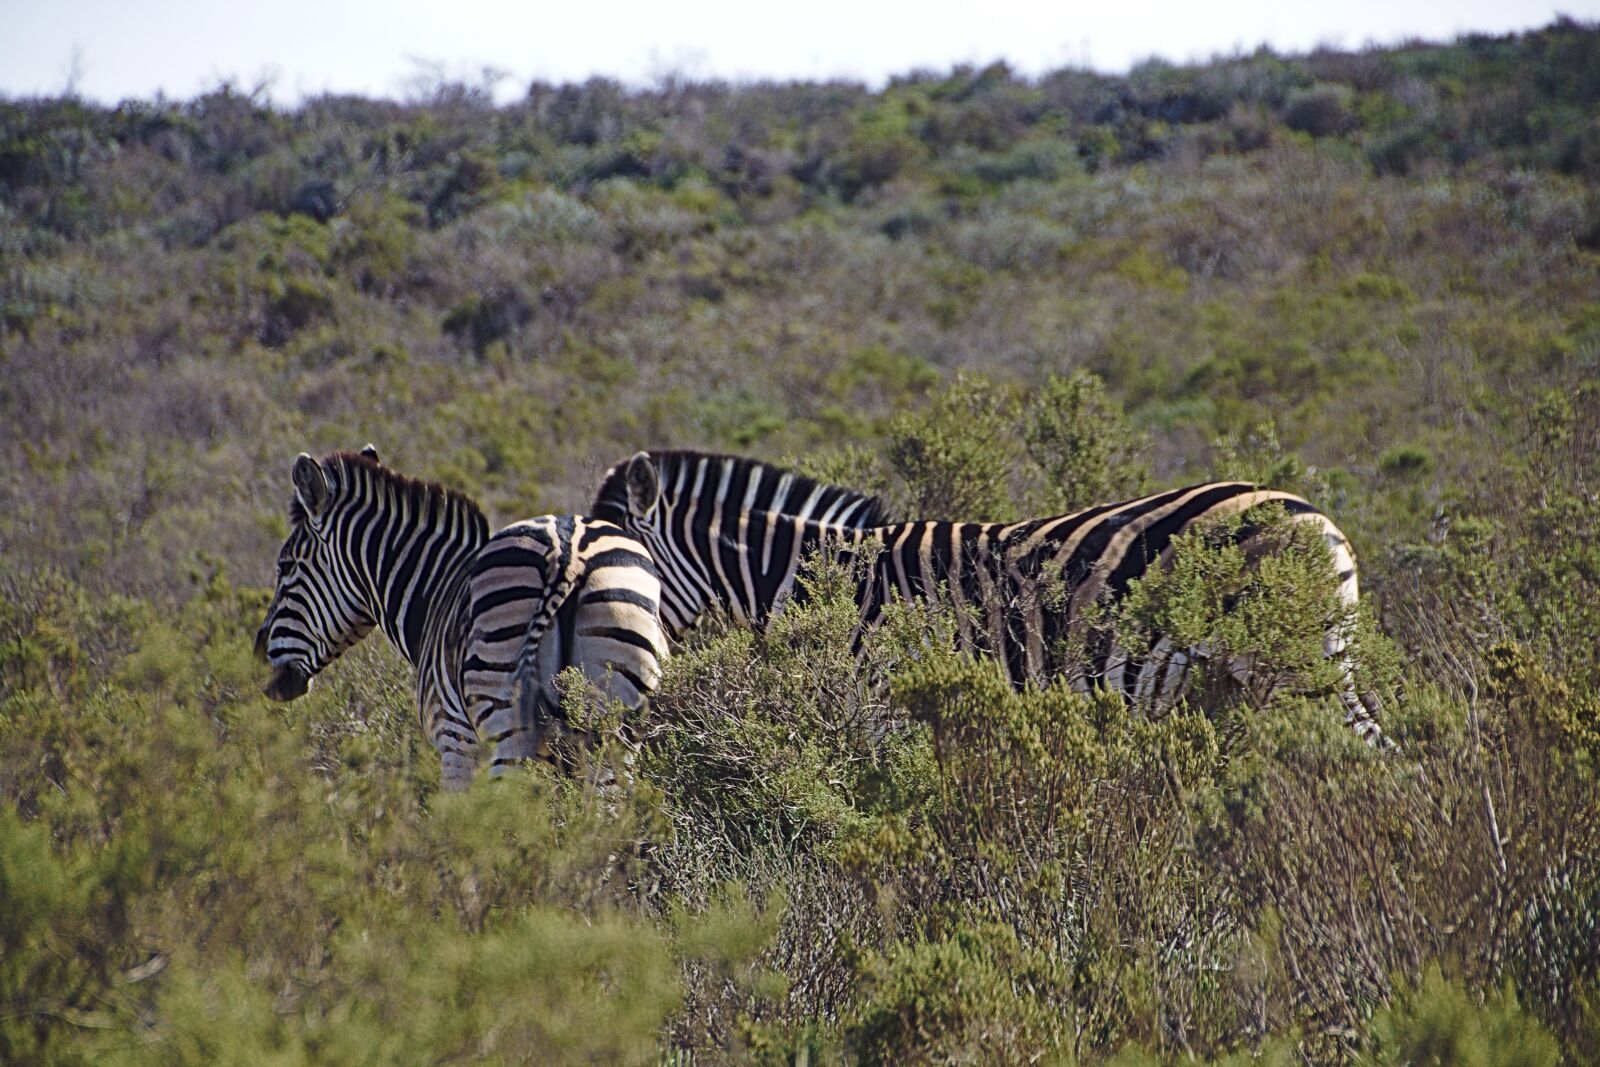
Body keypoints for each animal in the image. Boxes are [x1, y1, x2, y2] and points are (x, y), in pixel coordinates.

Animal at [255, 446, 668, 789]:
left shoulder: (454, 739)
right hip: (617, 722)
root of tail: (568, 556)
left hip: (508, 730)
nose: (258, 650)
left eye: (285, 566)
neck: (435, 592)